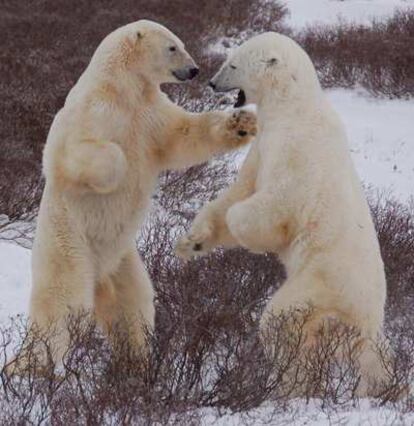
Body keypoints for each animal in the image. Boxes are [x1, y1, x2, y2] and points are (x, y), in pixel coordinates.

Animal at [21, 20, 258, 366]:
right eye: (173, 47)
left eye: (180, 43)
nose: (194, 69)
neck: (123, 88)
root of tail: (99, 272)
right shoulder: (92, 111)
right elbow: (67, 154)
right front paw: (119, 168)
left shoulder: (151, 114)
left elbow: (185, 136)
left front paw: (242, 122)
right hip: (69, 247)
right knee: (62, 305)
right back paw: (36, 364)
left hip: (123, 260)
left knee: (132, 305)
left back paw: (137, 359)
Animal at [177, 31, 388, 394]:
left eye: (233, 64)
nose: (212, 83)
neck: (292, 105)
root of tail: (370, 314)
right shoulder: (262, 143)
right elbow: (238, 189)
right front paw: (193, 242)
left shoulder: (294, 150)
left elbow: (271, 203)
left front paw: (256, 240)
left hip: (321, 281)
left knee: (281, 322)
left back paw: (290, 383)